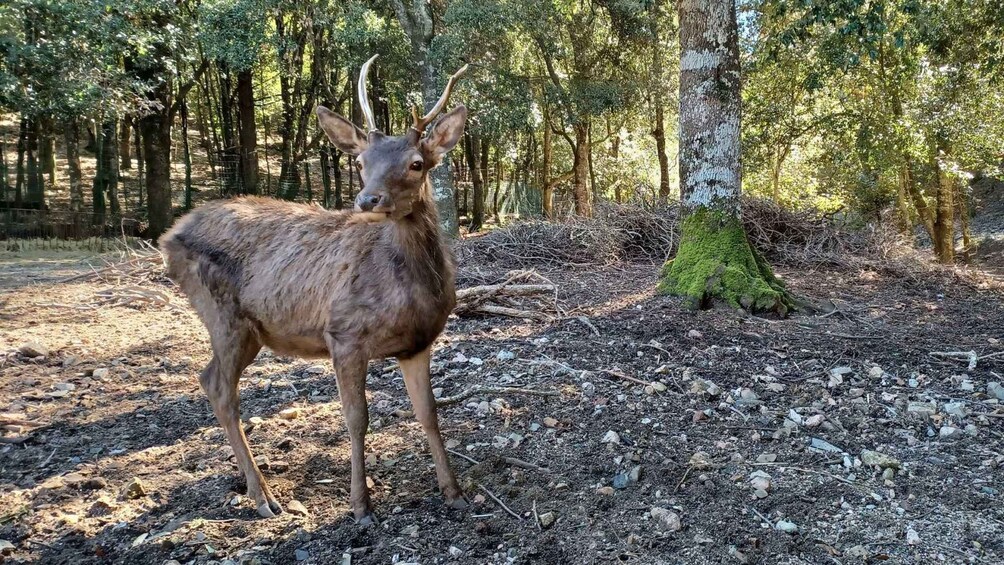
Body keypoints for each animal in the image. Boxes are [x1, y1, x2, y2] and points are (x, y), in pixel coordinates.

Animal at [159, 55, 469, 525]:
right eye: (361, 161)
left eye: (417, 162)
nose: (367, 200)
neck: (409, 290)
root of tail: (167, 237)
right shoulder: (343, 334)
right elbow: (356, 418)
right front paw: (361, 505)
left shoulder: (418, 343)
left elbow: (429, 413)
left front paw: (453, 491)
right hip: (222, 314)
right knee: (220, 389)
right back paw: (263, 497)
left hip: (249, 330)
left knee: (208, 379)